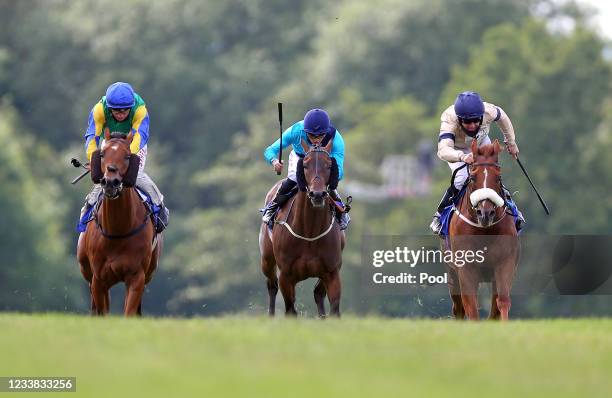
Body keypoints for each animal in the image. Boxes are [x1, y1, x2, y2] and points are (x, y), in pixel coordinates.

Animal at [76, 129, 161, 316]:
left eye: (128, 156)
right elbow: (102, 311)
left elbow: (129, 312)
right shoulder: (98, 279)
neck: (118, 230)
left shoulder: (137, 277)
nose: (110, 181)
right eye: (102, 154)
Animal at [256, 140, 344, 318]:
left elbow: (334, 309)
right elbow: (290, 309)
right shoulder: (286, 275)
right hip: (267, 260)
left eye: (329, 165)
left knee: (318, 293)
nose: (317, 194)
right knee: (272, 286)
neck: (310, 231)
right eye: (305, 165)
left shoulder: (332, 272)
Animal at [448, 140, 520, 320]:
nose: (485, 213)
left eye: (498, 177)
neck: (484, 231)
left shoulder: (505, 263)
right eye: (473, 177)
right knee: (458, 308)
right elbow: (471, 306)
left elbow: (502, 301)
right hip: (452, 274)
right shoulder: (465, 268)